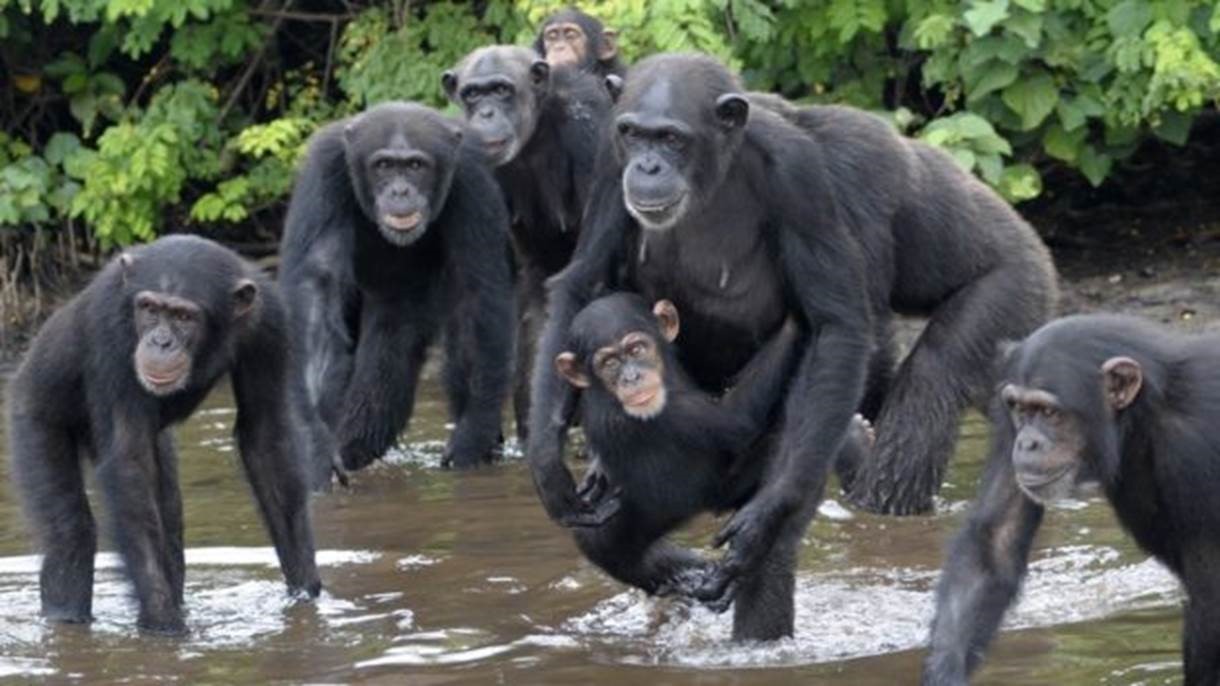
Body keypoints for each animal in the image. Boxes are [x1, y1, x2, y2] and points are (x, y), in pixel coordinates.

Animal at [5, 234, 319, 629]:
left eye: (184, 316)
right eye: (150, 309)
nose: (160, 341)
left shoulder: (269, 324)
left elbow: (265, 441)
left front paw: (306, 593)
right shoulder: (110, 326)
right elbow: (129, 460)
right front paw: (163, 621)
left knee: (169, 522)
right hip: (32, 413)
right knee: (69, 533)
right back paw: (67, 616)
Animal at [279, 101, 514, 478]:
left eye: (416, 166)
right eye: (384, 166)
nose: (400, 191)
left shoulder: (472, 178)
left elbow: (476, 291)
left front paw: (472, 435)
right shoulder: (324, 171)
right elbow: (318, 289)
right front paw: (314, 441)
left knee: (390, 355)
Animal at [441, 46, 610, 444]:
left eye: (502, 90)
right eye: (473, 94)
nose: (486, 113)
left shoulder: (589, 131)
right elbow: (474, 290)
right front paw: (475, 432)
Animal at [531, 53, 1058, 634]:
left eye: (671, 139)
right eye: (633, 134)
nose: (646, 167)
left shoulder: (810, 176)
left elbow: (841, 326)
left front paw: (774, 510)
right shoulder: (608, 161)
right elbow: (583, 280)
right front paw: (549, 464)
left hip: (1010, 292)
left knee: (926, 381)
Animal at [922, 311, 1220, 683]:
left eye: (1049, 412)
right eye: (1020, 409)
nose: (1027, 442)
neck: (1143, 414)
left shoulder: (1198, 443)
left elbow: (1211, 599)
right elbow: (994, 540)